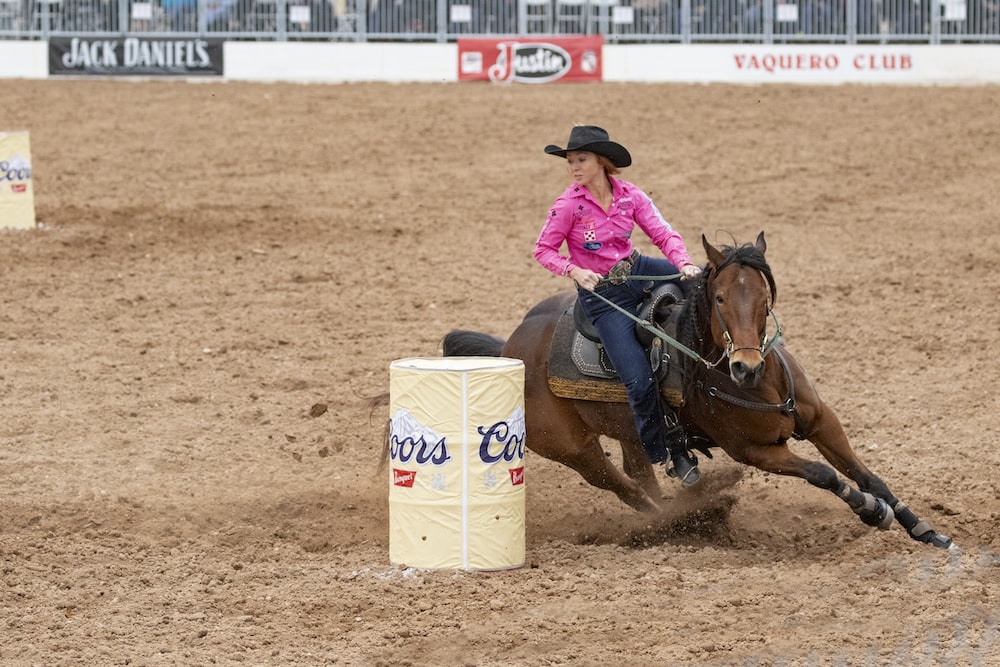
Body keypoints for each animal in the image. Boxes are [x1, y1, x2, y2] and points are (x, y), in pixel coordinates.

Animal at [444, 232, 952, 552]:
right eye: (721, 298)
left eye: (764, 297)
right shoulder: (755, 451)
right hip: (574, 449)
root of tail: (509, 346)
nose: (745, 366)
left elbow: (869, 475)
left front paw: (925, 530)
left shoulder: (822, 419)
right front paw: (871, 512)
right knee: (625, 487)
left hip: (630, 431)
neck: (759, 384)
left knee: (639, 472)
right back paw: (674, 524)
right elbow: (826, 475)